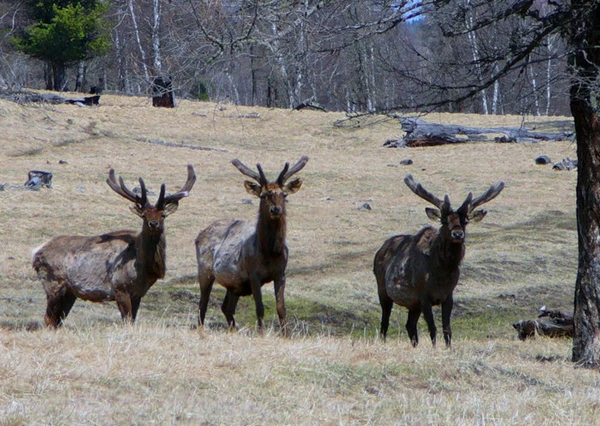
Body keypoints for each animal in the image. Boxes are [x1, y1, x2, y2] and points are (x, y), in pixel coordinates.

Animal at [31, 165, 196, 328]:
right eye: (144, 215)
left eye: (163, 215)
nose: (153, 223)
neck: (143, 268)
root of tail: (36, 252)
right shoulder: (120, 287)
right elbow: (127, 322)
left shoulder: (138, 293)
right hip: (53, 283)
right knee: (48, 319)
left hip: (69, 292)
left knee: (56, 321)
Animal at [196, 155, 310, 334]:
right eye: (263, 195)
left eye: (284, 194)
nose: (275, 209)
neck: (270, 253)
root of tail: (199, 235)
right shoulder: (254, 274)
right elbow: (260, 308)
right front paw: (261, 333)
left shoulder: (281, 273)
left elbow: (281, 308)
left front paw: (286, 334)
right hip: (205, 270)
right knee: (203, 304)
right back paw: (202, 329)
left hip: (234, 285)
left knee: (226, 308)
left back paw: (233, 330)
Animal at [372, 175, 504, 348]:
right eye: (444, 221)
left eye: (465, 221)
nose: (457, 234)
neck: (442, 274)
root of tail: (380, 249)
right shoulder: (423, 295)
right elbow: (432, 328)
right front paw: (435, 349)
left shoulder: (448, 295)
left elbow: (447, 329)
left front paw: (448, 348)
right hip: (383, 290)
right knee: (385, 322)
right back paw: (383, 342)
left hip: (413, 304)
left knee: (410, 325)